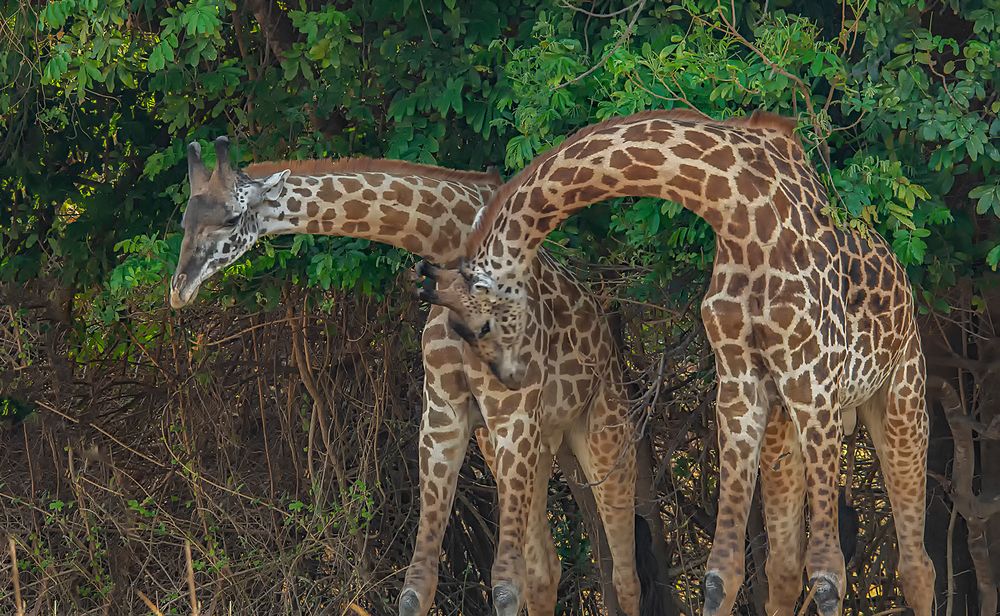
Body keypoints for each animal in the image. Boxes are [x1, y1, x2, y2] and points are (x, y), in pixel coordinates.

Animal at [168, 137, 660, 612]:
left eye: (232, 219)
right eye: (184, 221)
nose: (179, 289)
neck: (447, 242)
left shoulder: (512, 415)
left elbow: (503, 586)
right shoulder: (444, 418)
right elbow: (417, 585)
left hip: (602, 433)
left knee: (625, 574)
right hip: (532, 445)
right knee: (546, 569)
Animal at [414, 110, 936, 616]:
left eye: (481, 328)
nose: (509, 380)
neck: (739, 212)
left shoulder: (814, 382)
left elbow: (828, 577)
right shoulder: (741, 390)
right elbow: (722, 573)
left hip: (900, 399)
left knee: (917, 566)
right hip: (785, 425)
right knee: (785, 567)